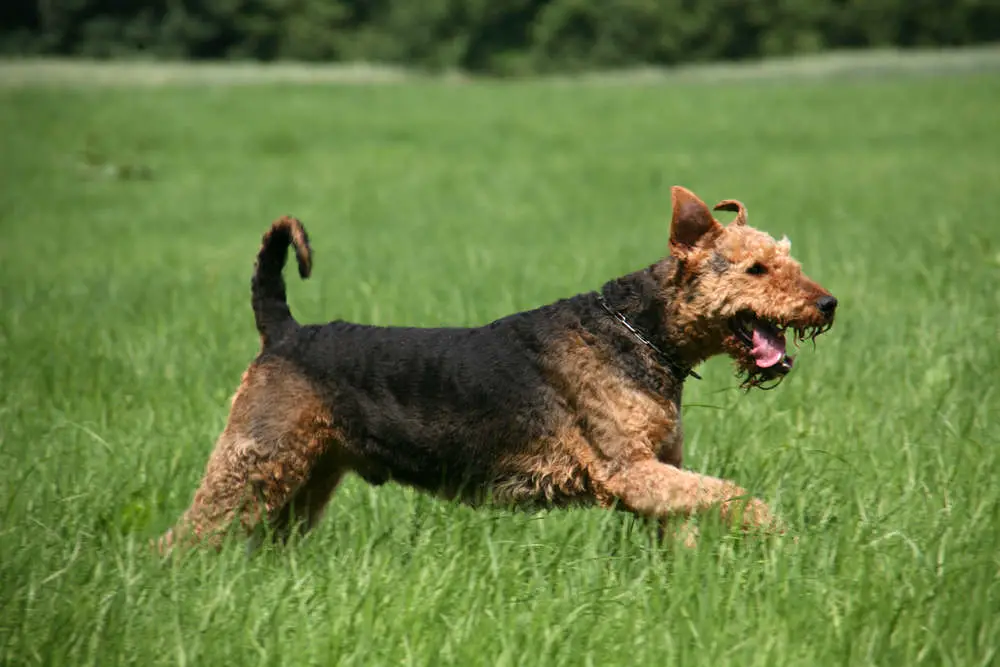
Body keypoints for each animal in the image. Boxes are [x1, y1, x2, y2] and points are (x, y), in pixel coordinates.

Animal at [160, 185, 836, 552]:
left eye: (788, 260)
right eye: (755, 269)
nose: (827, 304)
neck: (640, 331)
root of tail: (284, 330)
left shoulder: (657, 470)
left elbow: (696, 515)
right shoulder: (629, 471)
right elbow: (736, 495)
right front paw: (784, 537)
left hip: (307, 478)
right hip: (254, 460)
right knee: (180, 539)